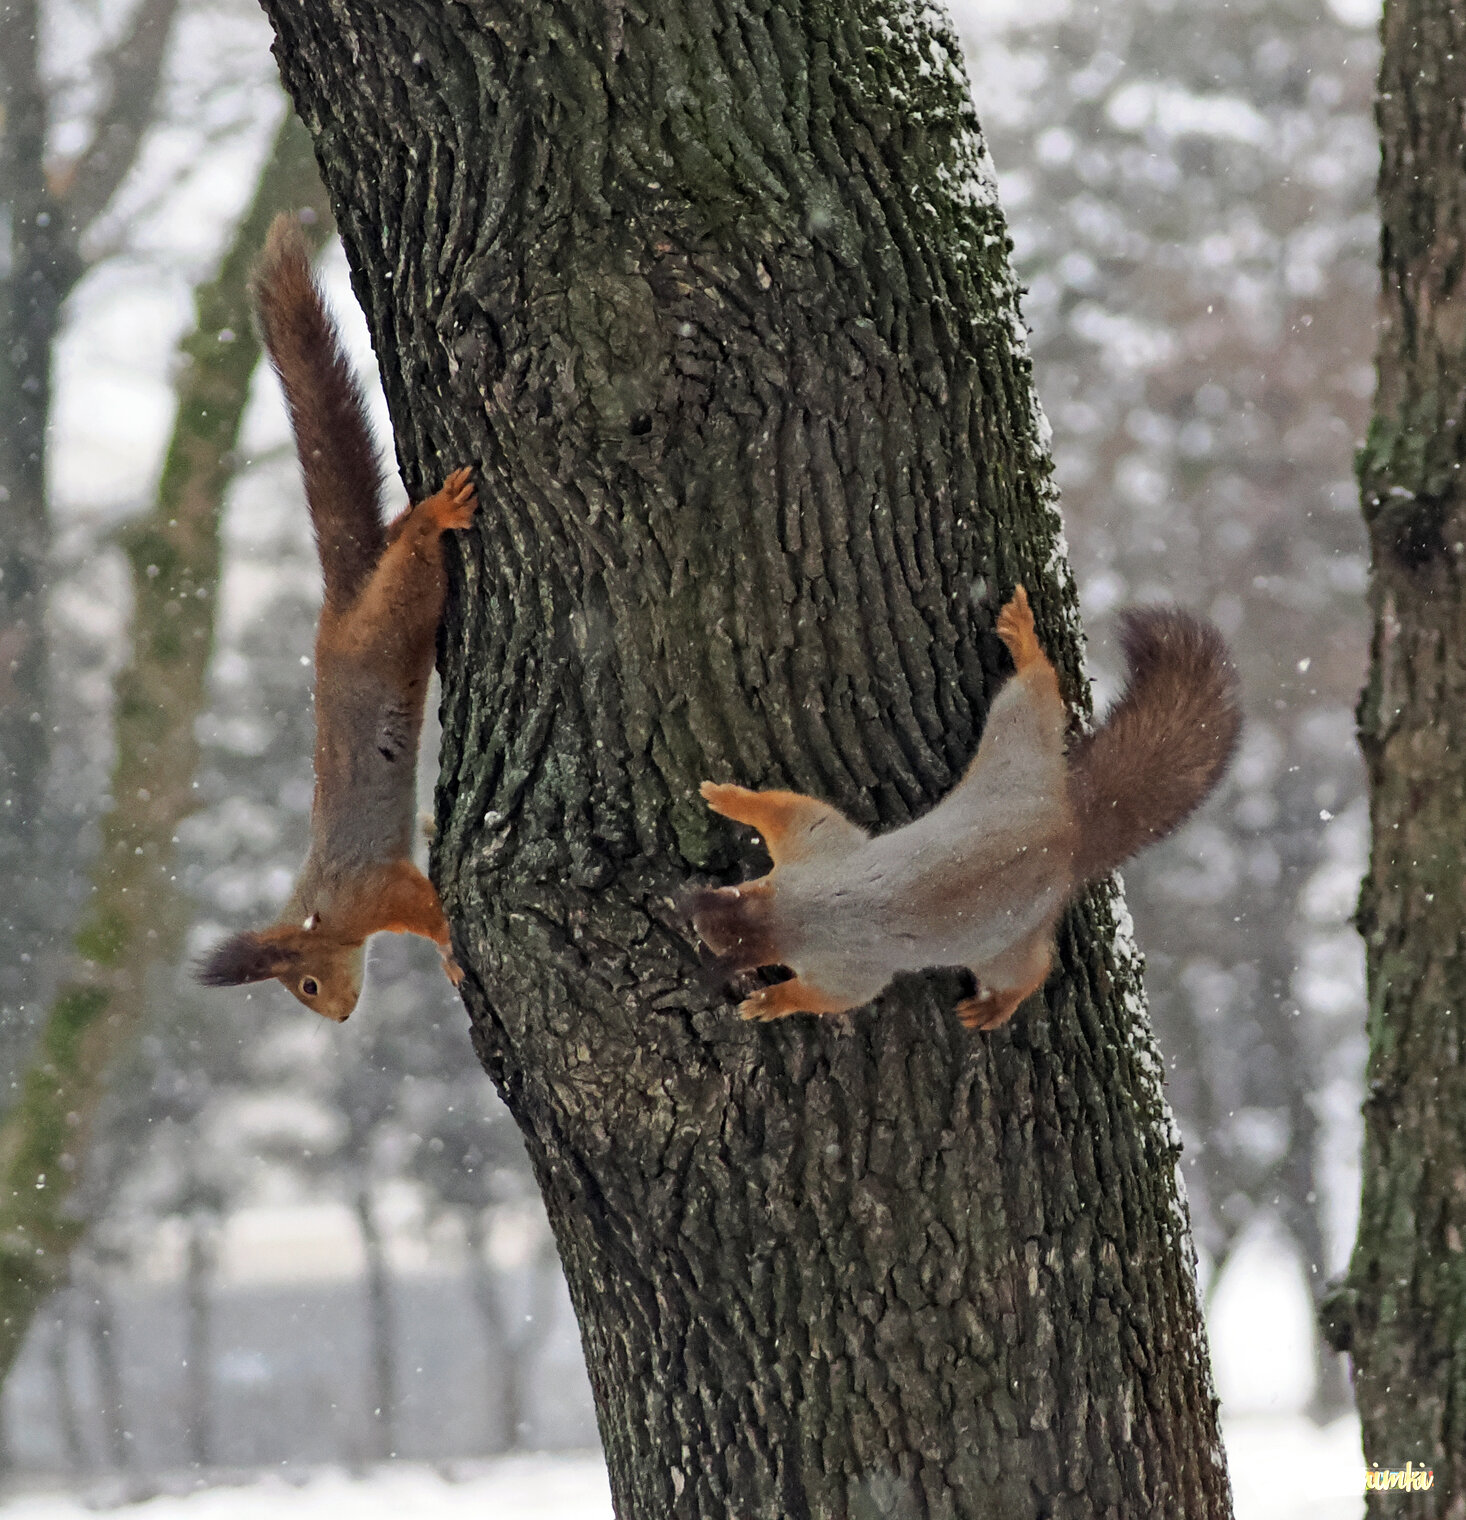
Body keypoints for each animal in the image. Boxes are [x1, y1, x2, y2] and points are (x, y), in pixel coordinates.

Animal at [194, 214, 474, 1021]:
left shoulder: (374, 888)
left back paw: (437, 514)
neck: (324, 910)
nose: (341, 1017)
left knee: (414, 555)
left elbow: (426, 909)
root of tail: (340, 607)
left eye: (308, 984)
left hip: (392, 619)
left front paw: (450, 949)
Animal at [693, 586, 1240, 1027]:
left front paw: (772, 1001)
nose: (692, 918)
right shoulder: (813, 852)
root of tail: (1068, 832)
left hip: (1005, 928)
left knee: (1030, 971)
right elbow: (786, 810)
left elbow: (835, 994)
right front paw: (729, 798)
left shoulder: (842, 952)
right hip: (1018, 753)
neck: (798, 912)